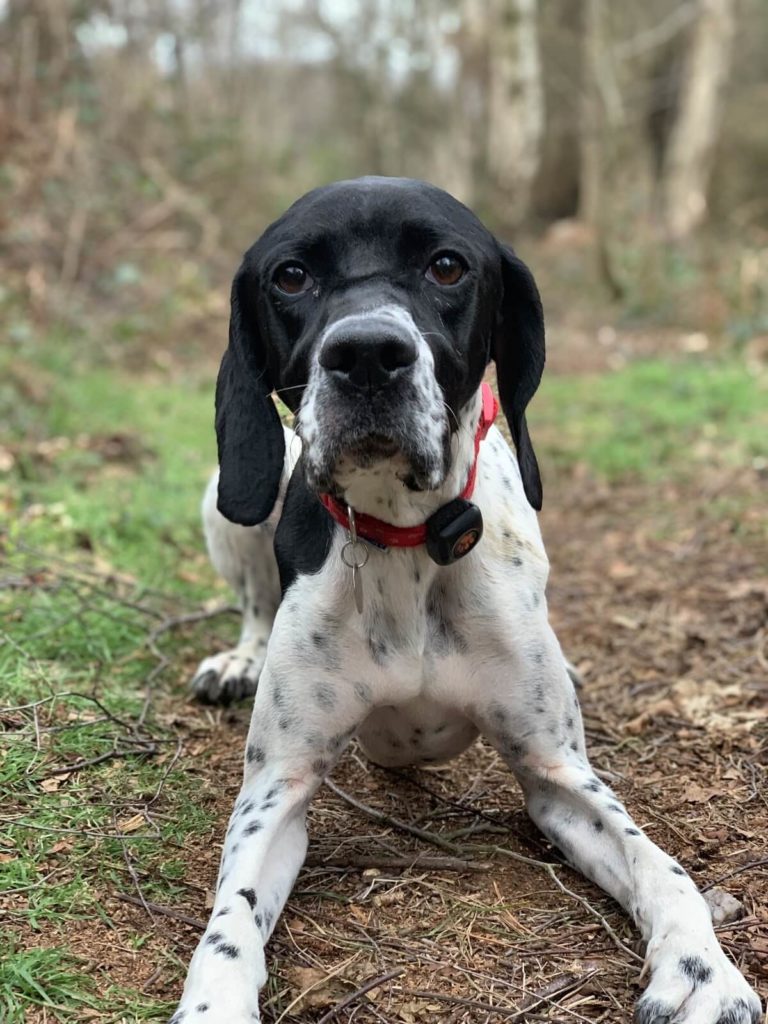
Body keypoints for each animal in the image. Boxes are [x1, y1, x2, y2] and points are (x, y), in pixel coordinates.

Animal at [169, 178, 765, 1024]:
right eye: (291, 276)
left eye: (446, 266)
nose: (367, 354)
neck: (407, 540)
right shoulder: (277, 787)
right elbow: (231, 919)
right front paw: (213, 1000)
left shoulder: (558, 776)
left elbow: (663, 866)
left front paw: (702, 969)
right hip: (232, 490)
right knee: (254, 593)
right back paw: (239, 659)